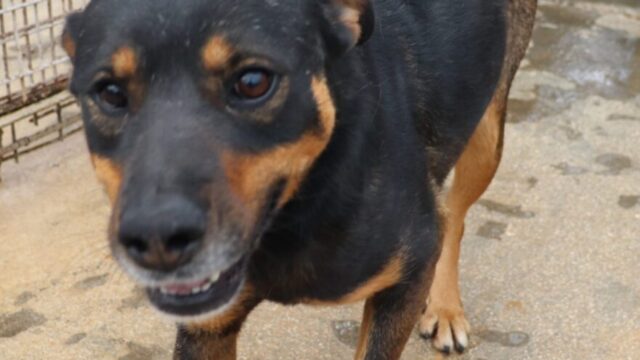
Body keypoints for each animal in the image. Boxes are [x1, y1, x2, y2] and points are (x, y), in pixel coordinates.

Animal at [63, 0, 536, 358]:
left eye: (253, 82)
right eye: (109, 93)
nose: (157, 241)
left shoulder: (409, 275)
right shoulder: (207, 328)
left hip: (486, 137)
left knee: (454, 215)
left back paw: (446, 308)